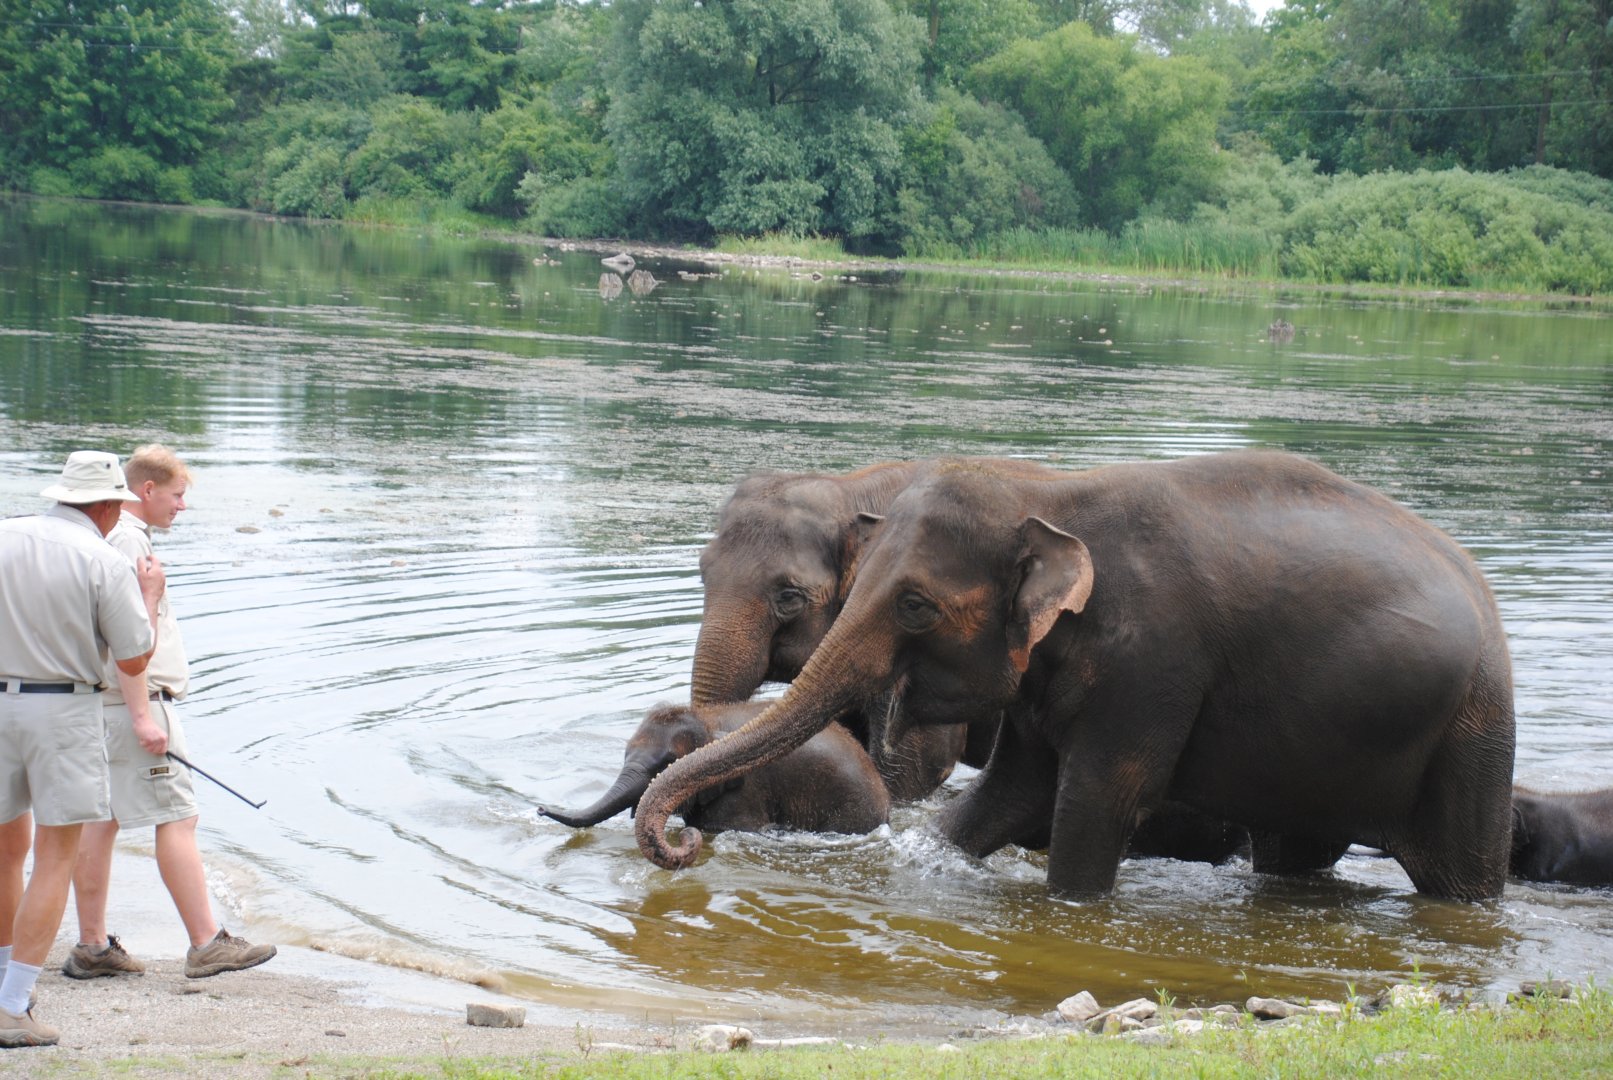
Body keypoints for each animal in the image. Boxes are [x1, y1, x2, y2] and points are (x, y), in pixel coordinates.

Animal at [636, 451, 1516, 901]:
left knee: (1458, 874)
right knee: (1293, 856)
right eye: (700, 573)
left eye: (915, 605)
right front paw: (934, 856)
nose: (684, 841)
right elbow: (1010, 790)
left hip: (1470, 732)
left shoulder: (1153, 659)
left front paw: (1069, 908)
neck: (1048, 501)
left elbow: (1093, 798)